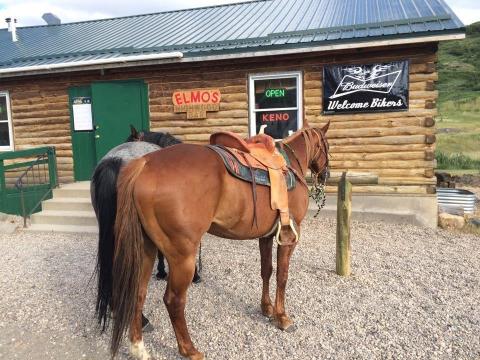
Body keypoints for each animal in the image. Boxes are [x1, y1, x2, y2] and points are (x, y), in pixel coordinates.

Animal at [99, 123, 328, 358]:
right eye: (326, 146)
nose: (325, 174)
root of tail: (142, 165)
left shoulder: (265, 236)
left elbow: (267, 271)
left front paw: (266, 308)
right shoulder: (289, 235)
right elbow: (282, 276)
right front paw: (282, 317)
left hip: (146, 251)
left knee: (137, 294)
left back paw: (139, 349)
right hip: (183, 258)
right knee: (173, 300)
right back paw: (189, 349)